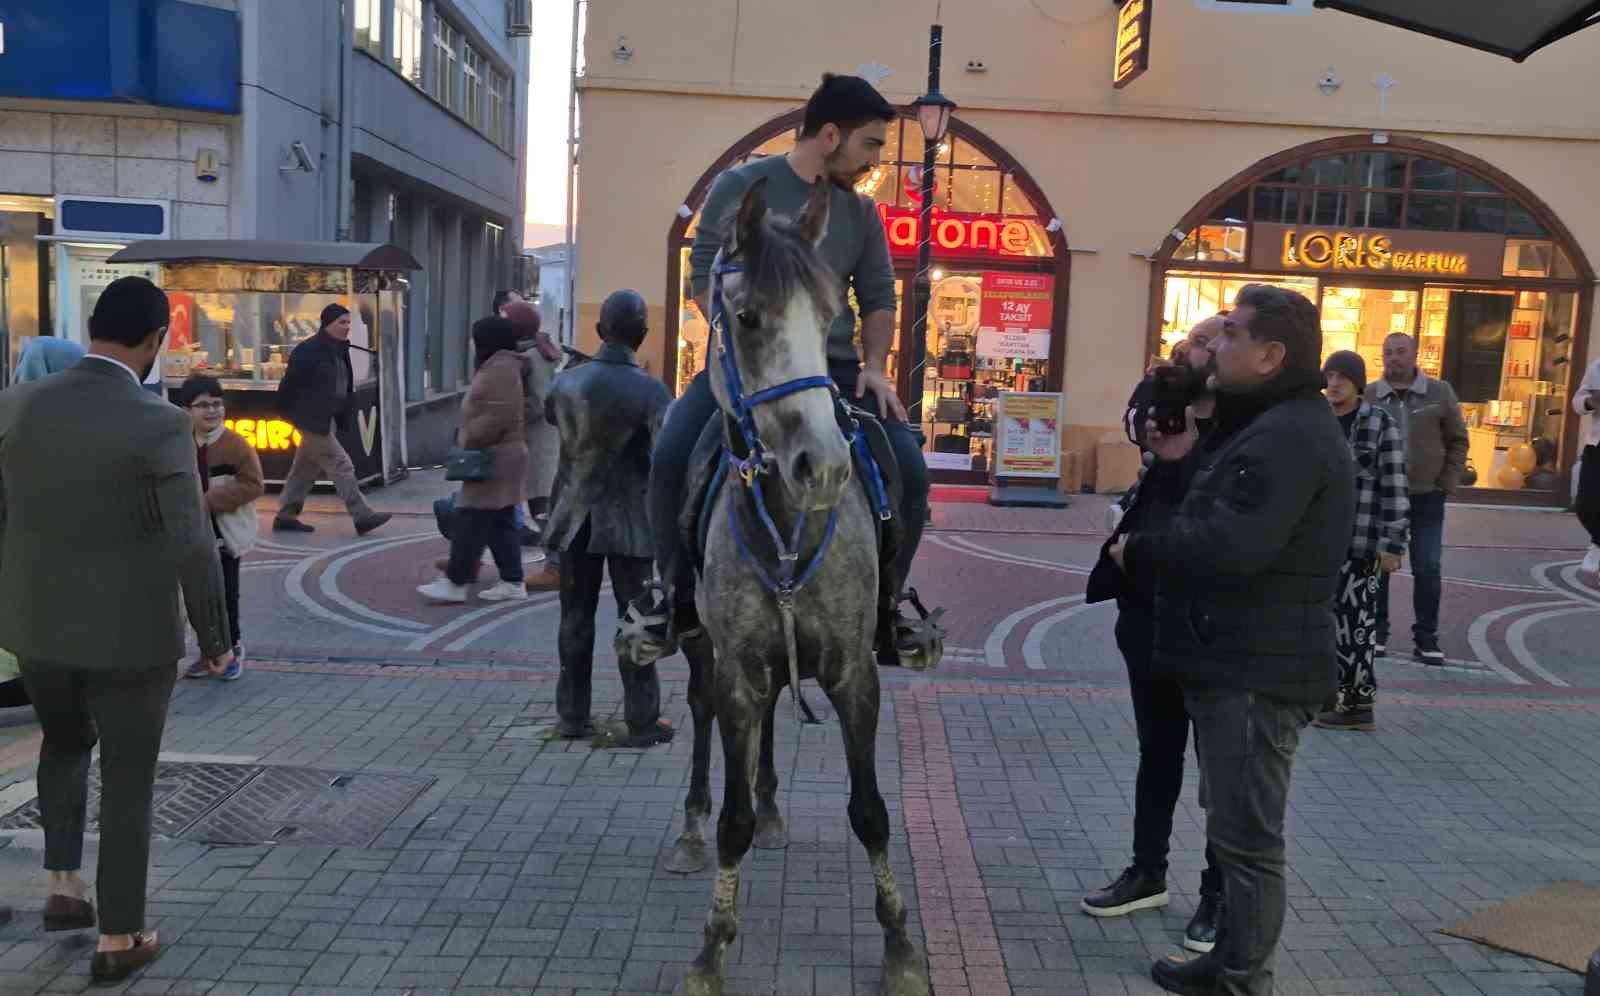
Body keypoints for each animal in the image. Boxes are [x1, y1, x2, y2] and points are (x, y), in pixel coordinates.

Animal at [665, 179, 928, 996]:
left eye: (831, 315)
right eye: (748, 318)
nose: (826, 465)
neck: (787, 524)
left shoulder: (854, 674)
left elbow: (871, 812)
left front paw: (900, 943)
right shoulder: (737, 674)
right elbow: (733, 823)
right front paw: (711, 947)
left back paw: (776, 803)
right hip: (704, 652)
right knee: (701, 718)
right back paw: (690, 827)